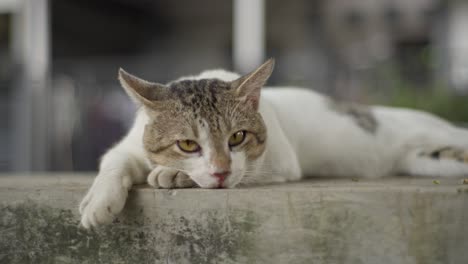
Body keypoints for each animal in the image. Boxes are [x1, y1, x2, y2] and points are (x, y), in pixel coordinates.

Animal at [79, 58, 468, 228]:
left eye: (237, 137)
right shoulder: (127, 146)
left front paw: (171, 175)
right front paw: (98, 202)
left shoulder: (278, 161)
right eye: (187, 144)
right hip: (430, 159)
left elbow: (239, 172)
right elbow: (113, 163)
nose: (219, 171)